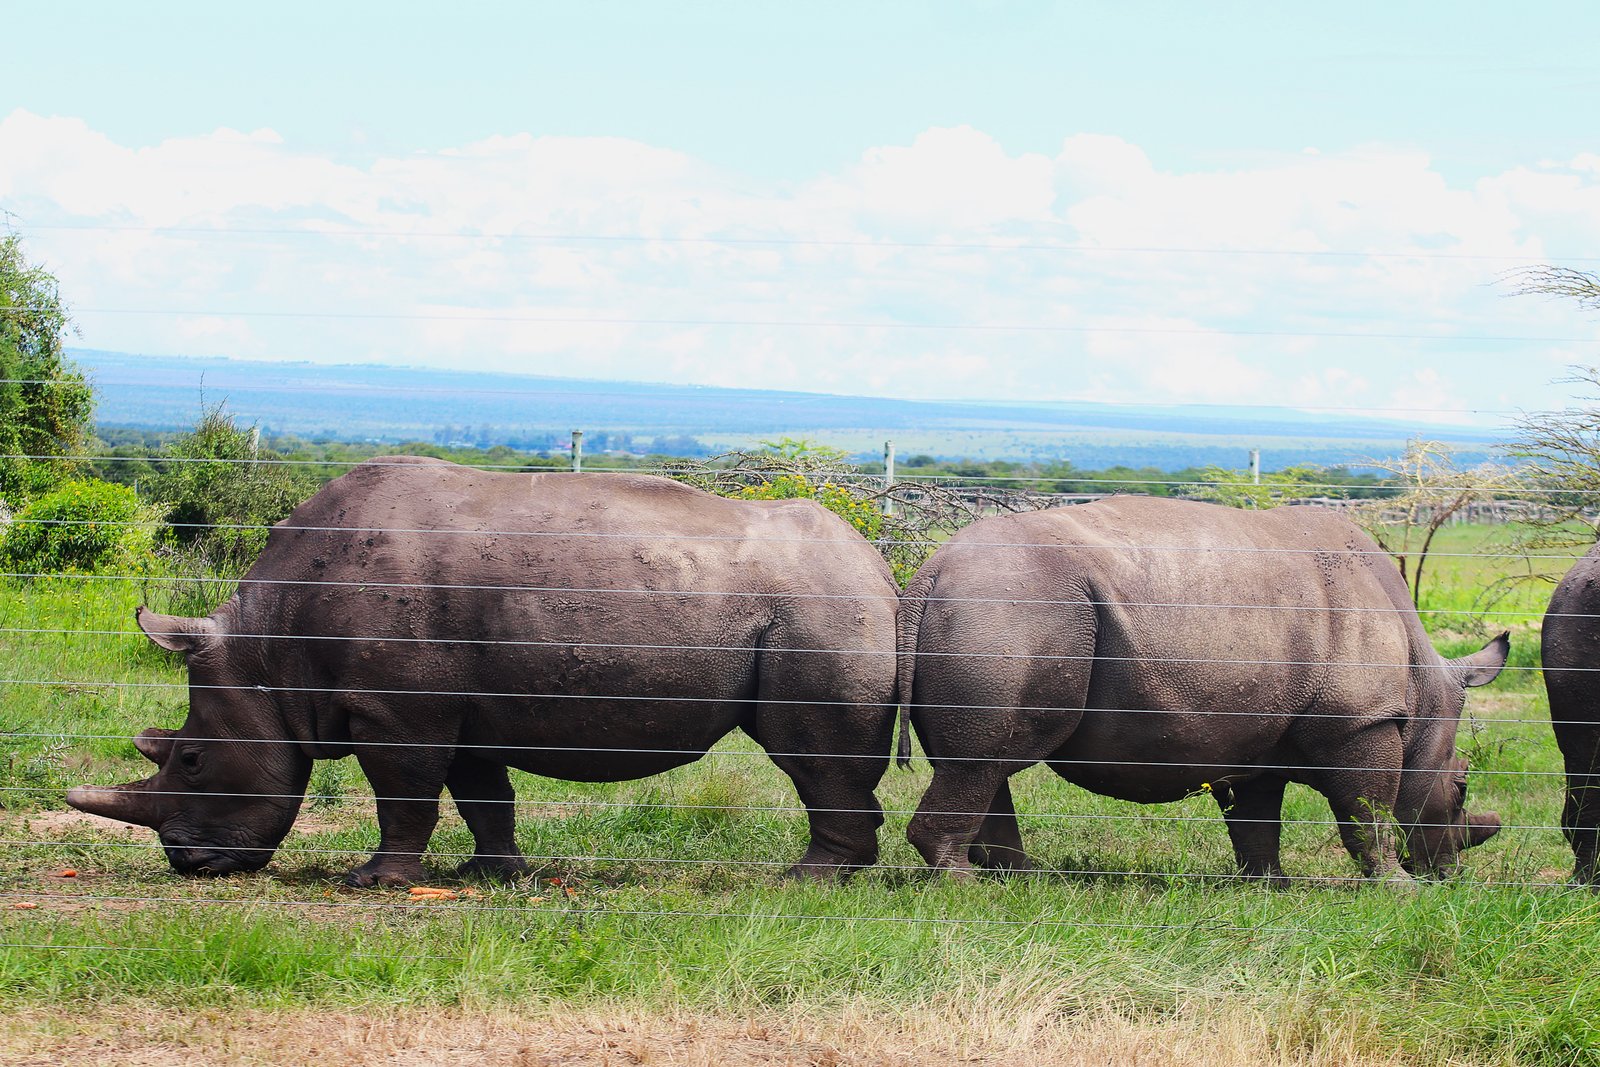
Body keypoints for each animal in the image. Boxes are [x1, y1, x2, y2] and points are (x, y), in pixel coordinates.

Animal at [67, 456, 900, 886]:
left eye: (192, 757)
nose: (188, 862)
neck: (268, 649)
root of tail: (881, 567)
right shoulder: (457, 706)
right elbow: (481, 795)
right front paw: (494, 872)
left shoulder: (396, 708)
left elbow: (402, 794)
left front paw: (373, 880)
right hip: (823, 601)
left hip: (821, 607)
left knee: (805, 752)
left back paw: (806, 880)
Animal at [896, 496, 1506, 884]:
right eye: (1461, 789)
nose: (1448, 874)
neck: (1424, 690)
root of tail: (930, 572)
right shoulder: (1362, 720)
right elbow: (1367, 809)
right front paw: (1397, 887)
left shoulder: (1264, 733)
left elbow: (1258, 818)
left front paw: (1270, 885)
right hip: (1015, 605)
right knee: (984, 760)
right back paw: (965, 887)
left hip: (1001, 603)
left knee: (986, 762)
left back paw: (1022, 879)